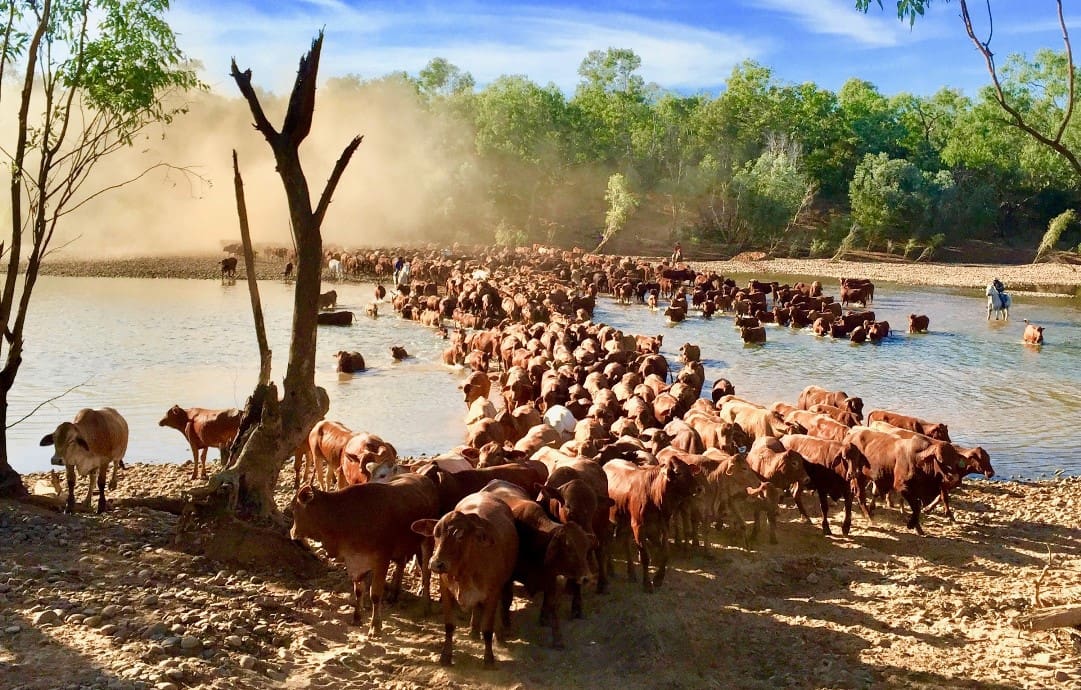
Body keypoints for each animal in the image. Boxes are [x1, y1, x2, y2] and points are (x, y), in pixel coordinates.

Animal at [289, 475, 441, 640]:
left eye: (293, 509)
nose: (292, 532)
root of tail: (423, 477)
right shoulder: (355, 561)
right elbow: (358, 591)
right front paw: (357, 618)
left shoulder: (382, 560)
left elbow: (375, 594)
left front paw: (375, 627)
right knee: (401, 563)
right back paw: (394, 594)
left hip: (427, 541)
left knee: (426, 572)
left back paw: (425, 605)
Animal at [408, 495, 518, 666]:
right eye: (435, 533)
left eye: (460, 536)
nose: (436, 563)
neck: (465, 571)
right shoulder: (445, 589)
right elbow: (449, 625)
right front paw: (445, 656)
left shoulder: (493, 593)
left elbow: (487, 628)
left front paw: (489, 659)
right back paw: (473, 631)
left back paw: (499, 638)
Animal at [601, 458, 700, 596]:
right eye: (679, 473)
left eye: (690, 470)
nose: (699, 488)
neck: (654, 496)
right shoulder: (638, 526)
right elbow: (645, 556)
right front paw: (647, 584)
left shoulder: (663, 525)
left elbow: (665, 552)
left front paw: (658, 578)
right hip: (612, 521)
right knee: (608, 542)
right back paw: (610, 569)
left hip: (626, 522)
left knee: (625, 543)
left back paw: (631, 573)